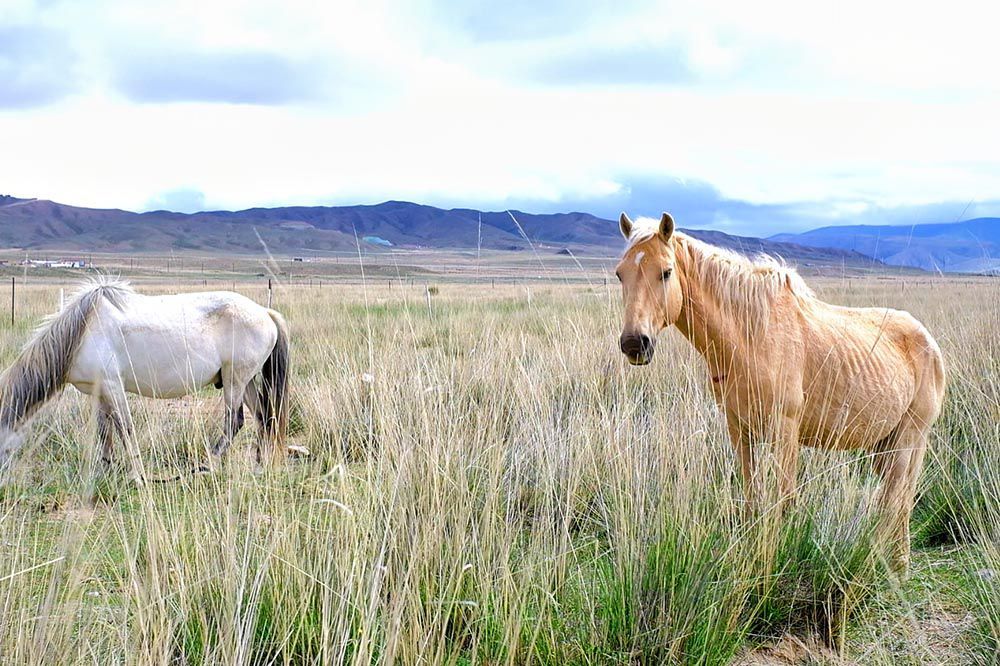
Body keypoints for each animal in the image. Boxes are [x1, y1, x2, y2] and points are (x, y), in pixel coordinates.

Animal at [0, 274, 290, 478]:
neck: (82, 333)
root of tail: (265, 313)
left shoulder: (113, 387)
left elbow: (125, 429)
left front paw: (136, 476)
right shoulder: (99, 392)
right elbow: (105, 432)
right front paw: (105, 471)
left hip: (235, 381)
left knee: (235, 421)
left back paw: (208, 464)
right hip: (246, 381)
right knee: (264, 417)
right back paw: (259, 466)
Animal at [612, 211, 948, 564]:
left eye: (666, 272)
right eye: (621, 274)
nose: (635, 343)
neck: (751, 337)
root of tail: (929, 343)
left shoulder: (784, 432)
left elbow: (783, 502)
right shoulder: (740, 430)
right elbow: (752, 499)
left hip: (910, 439)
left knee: (897, 501)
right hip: (884, 443)